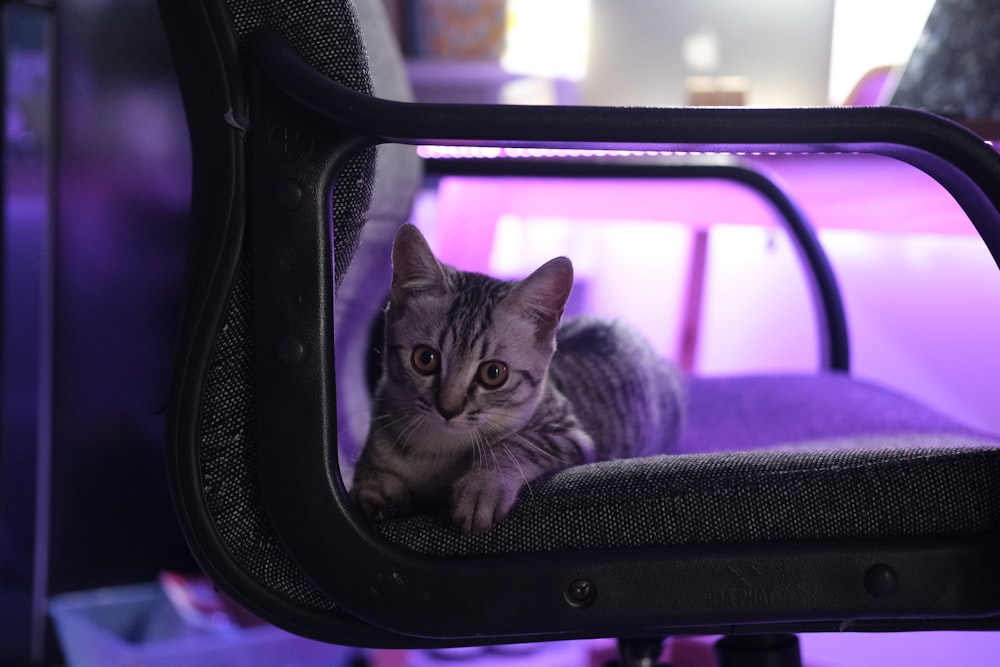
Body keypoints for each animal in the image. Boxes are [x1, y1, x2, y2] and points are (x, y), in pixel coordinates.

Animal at [348, 223, 684, 532]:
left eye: (493, 373)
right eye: (425, 359)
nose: (448, 408)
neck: (436, 449)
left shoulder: (569, 435)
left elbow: (518, 443)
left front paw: (481, 487)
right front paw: (376, 487)